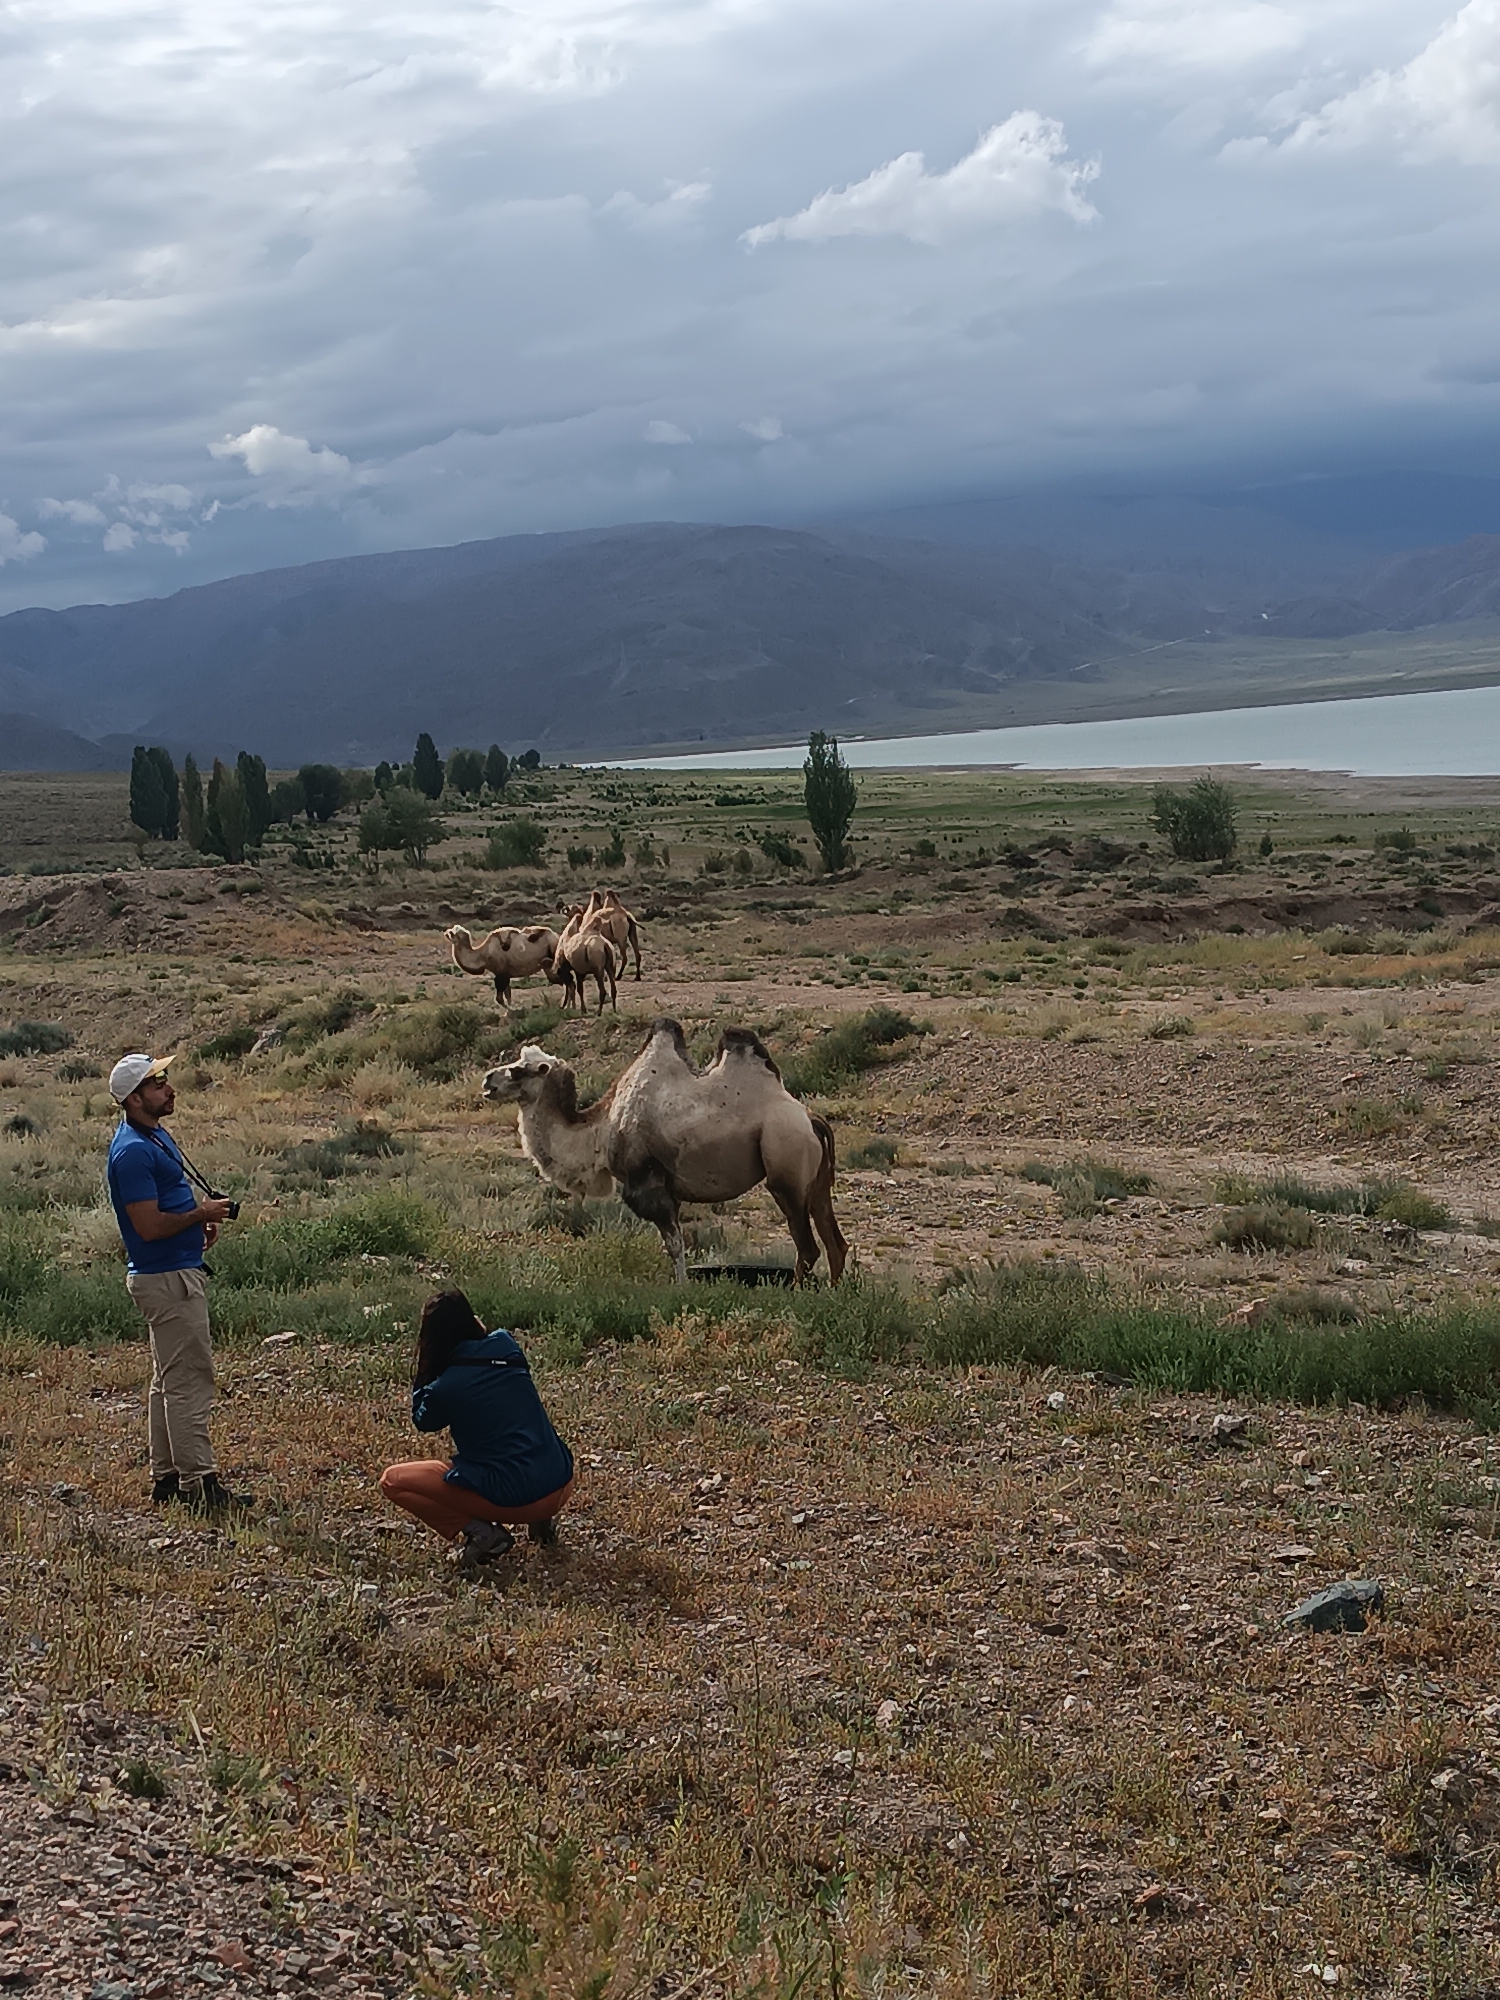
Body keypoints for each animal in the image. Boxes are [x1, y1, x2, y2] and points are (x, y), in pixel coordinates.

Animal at [481, 1017, 847, 1283]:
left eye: (518, 1070)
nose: (487, 1080)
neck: (600, 1130)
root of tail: (812, 1119)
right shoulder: (669, 1187)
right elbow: (676, 1242)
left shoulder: (646, 1182)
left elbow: (674, 1245)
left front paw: (682, 1289)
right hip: (815, 1180)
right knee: (834, 1243)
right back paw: (833, 1293)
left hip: (786, 1167)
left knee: (807, 1246)